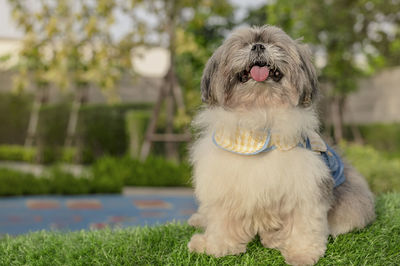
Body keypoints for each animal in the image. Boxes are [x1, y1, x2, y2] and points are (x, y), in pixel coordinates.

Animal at [187, 25, 376, 266]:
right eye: (243, 45)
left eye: (274, 44)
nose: (258, 46)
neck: (260, 114)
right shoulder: (226, 189)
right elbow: (222, 224)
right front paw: (216, 247)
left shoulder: (305, 189)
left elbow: (305, 225)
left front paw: (300, 253)